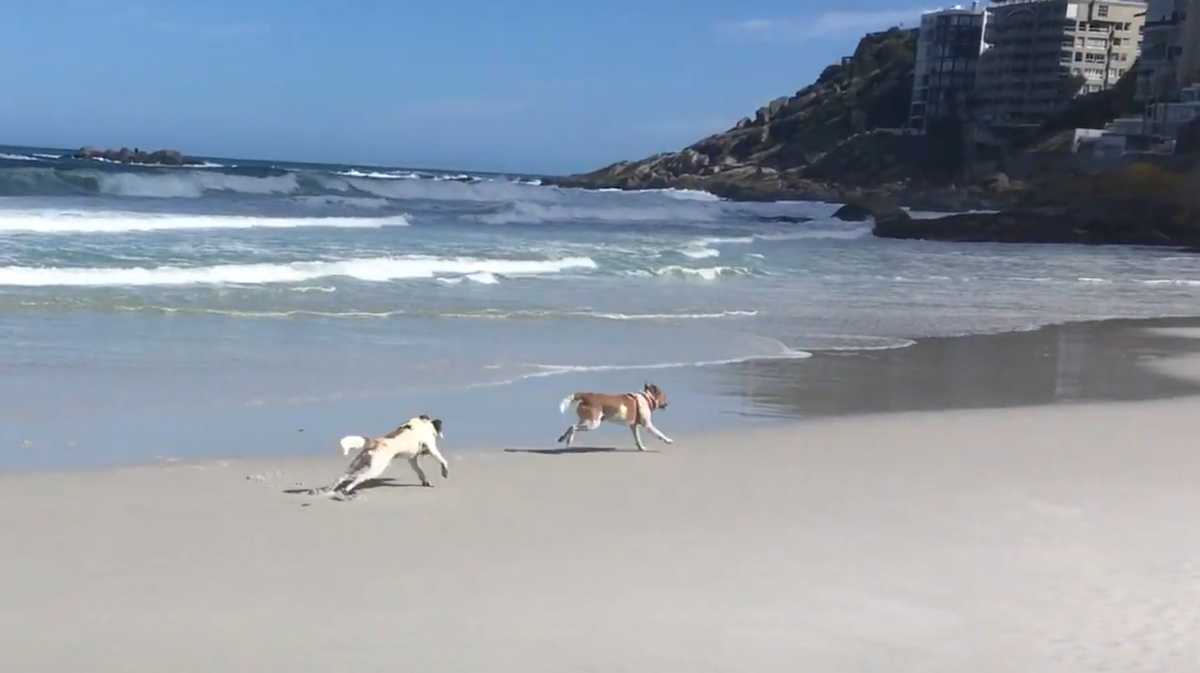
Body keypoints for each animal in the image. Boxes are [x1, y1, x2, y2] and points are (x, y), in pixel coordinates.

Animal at [316, 415, 448, 499]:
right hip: (375, 469)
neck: (422, 423)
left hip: (356, 464)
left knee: (341, 477)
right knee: (358, 478)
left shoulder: (412, 460)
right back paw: (346, 490)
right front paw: (444, 472)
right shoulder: (432, 447)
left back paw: (330, 490)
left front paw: (426, 481)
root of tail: (374, 442)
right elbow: (443, 460)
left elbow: (420, 471)